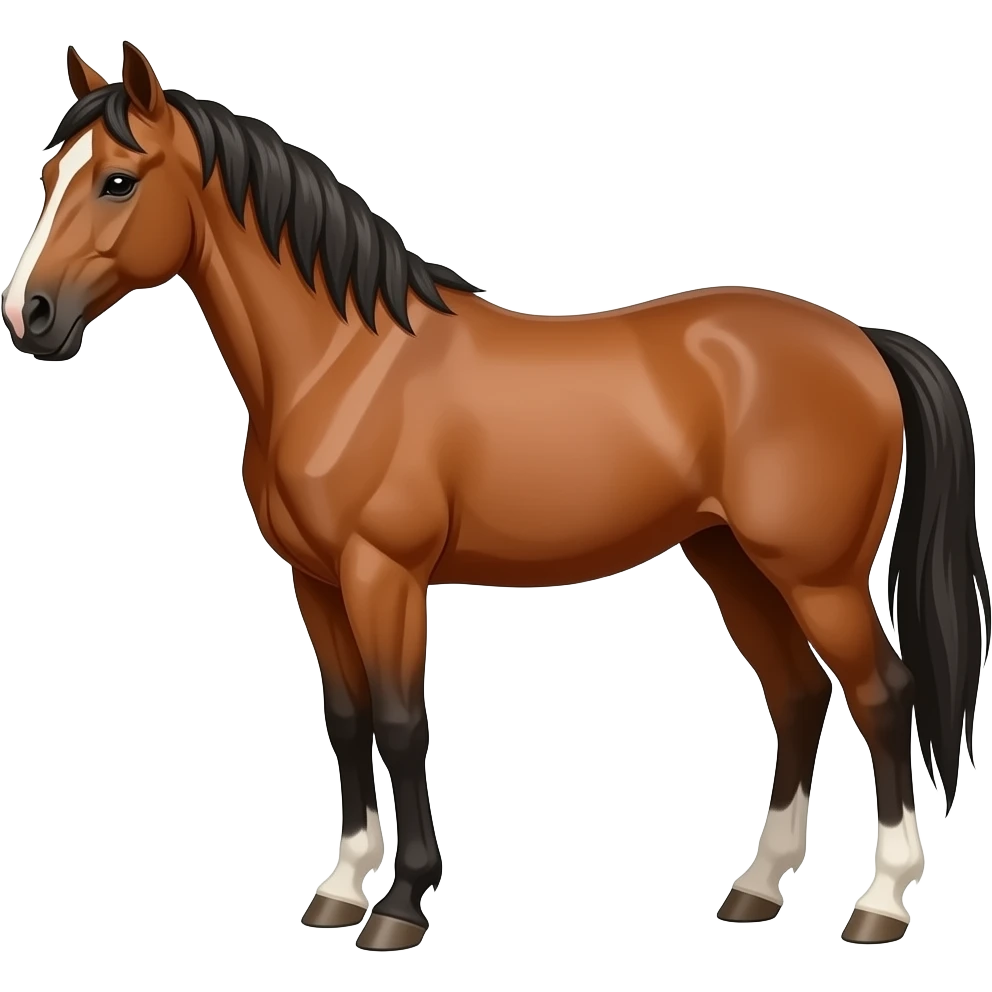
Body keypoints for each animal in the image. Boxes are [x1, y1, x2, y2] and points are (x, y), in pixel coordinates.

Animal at [2, 42, 987, 951]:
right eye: (49, 177)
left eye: (119, 181)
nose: (29, 316)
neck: (342, 363)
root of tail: (862, 341)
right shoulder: (315, 582)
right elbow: (346, 720)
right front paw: (339, 888)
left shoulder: (384, 576)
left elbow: (402, 723)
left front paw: (401, 905)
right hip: (732, 560)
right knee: (796, 694)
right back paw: (755, 887)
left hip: (818, 575)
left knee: (882, 694)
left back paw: (880, 902)